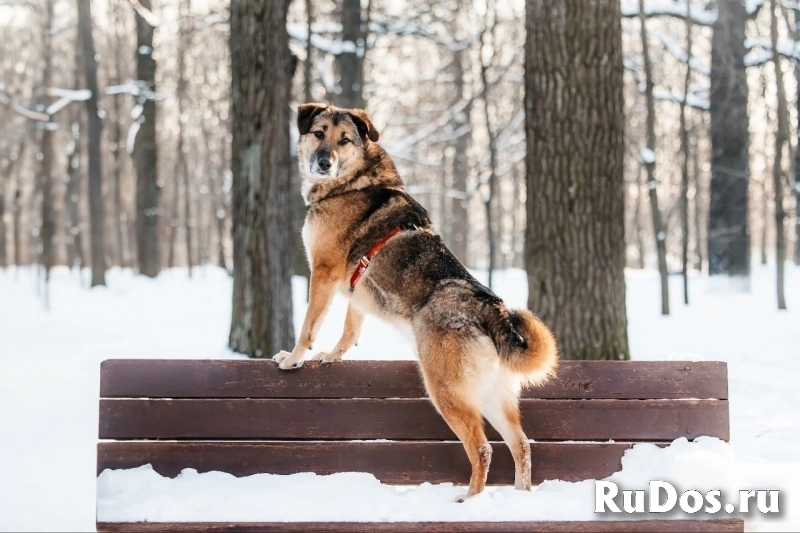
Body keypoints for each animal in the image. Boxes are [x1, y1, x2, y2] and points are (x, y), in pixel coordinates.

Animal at [272, 103, 560, 498]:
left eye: (344, 140)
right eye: (318, 134)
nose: (324, 162)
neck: (354, 181)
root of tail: (492, 308)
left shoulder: (324, 273)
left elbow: (308, 325)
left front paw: (294, 357)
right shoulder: (355, 289)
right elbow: (349, 329)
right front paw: (333, 355)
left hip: (445, 390)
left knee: (482, 448)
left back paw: (469, 500)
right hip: (492, 395)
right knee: (521, 446)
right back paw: (519, 495)